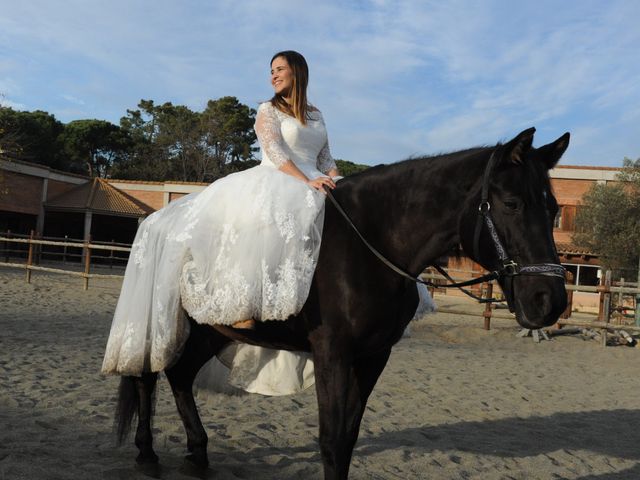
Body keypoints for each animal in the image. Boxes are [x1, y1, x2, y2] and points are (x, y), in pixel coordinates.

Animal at [114, 127, 568, 480]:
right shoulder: (332, 352)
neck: (371, 241)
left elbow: (348, 437)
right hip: (161, 320)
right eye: (512, 203)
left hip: (211, 328)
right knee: (146, 374)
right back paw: (146, 454)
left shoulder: (373, 356)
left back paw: (198, 453)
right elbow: (331, 440)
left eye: (554, 209)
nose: (550, 301)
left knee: (180, 375)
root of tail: (158, 220)